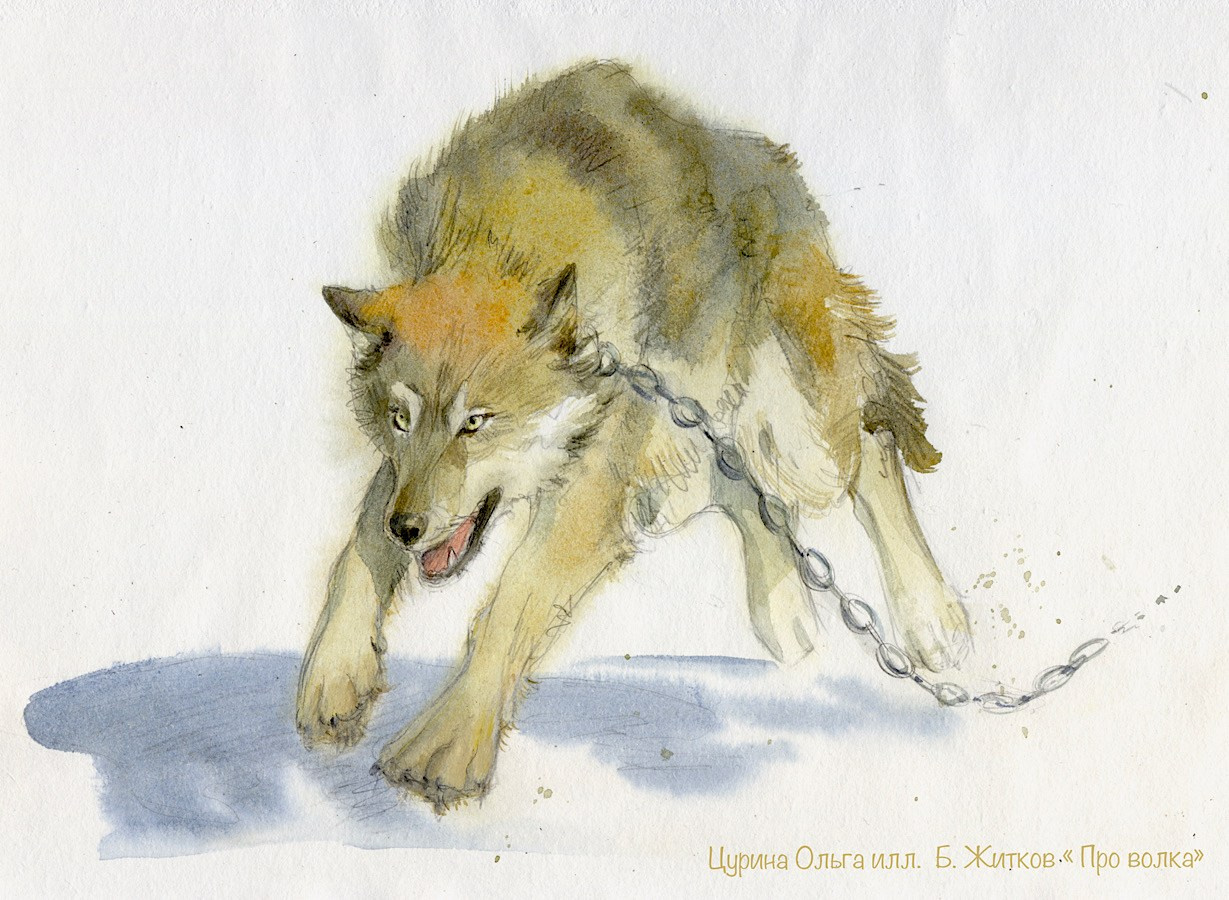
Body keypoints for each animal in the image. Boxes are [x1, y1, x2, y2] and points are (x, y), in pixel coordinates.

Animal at [296, 60, 971, 810]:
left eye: (475, 423)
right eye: (399, 418)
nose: (409, 529)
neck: (504, 242)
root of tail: (773, 164)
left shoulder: (592, 490)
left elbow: (509, 603)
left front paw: (447, 742)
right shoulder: (403, 480)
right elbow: (358, 542)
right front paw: (335, 673)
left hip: (791, 434)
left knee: (870, 448)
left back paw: (932, 620)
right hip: (697, 440)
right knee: (750, 496)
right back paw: (786, 616)